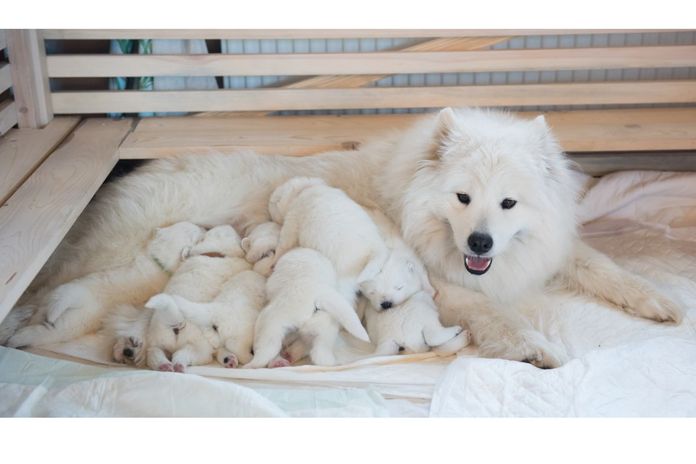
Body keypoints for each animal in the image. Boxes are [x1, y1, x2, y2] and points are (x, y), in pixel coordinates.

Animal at [8, 221, 204, 348]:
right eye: (195, 233)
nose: (205, 227)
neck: (160, 263)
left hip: (75, 306)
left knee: (53, 317)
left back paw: (25, 332)